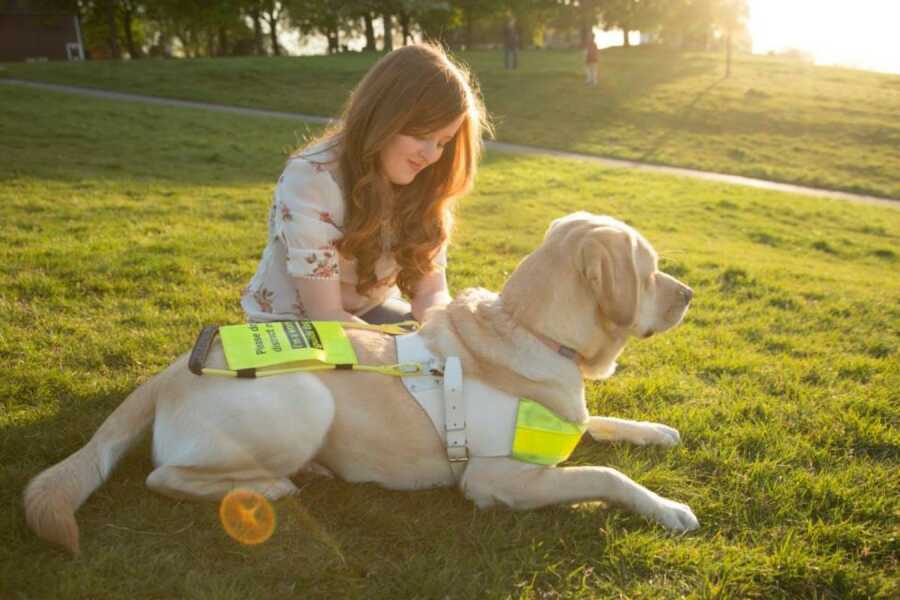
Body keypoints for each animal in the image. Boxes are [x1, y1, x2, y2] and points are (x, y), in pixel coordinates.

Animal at [21, 210, 696, 552]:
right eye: (650, 270)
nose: (689, 294)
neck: (530, 327)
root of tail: (165, 373)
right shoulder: (494, 478)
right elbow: (601, 473)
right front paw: (667, 508)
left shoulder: (573, 418)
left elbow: (600, 423)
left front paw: (656, 431)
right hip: (305, 399)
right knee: (165, 477)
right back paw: (271, 487)